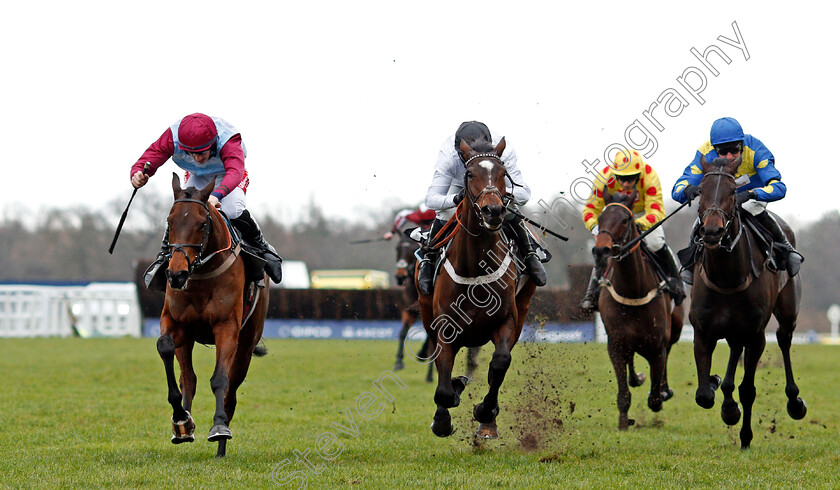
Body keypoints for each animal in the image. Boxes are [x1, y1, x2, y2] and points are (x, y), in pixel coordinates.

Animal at [153, 174, 266, 458]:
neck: (202, 274)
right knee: (189, 379)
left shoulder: (227, 327)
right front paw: (181, 420)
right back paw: (184, 423)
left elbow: (220, 380)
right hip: (188, 339)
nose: (176, 275)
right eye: (169, 222)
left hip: (246, 344)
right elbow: (165, 348)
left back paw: (221, 445)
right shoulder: (175, 322)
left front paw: (219, 429)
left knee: (231, 390)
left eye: (202, 224)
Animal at [416, 137, 540, 436]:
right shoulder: (444, 325)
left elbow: (500, 362)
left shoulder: (507, 319)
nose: (493, 210)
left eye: (503, 173)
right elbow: (443, 378)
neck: (475, 267)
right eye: (470, 174)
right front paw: (442, 417)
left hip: (524, 304)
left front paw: (486, 413)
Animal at [592, 189, 684, 430]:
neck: (633, 290)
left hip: (675, 328)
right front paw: (624, 423)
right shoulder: (615, 343)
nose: (601, 250)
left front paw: (660, 393)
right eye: (600, 218)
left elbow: (654, 397)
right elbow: (624, 392)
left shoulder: (658, 346)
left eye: (625, 219)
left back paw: (663, 389)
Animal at [688, 156, 808, 448]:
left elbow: (748, 390)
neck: (727, 277)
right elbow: (704, 395)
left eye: (733, 191)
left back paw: (794, 401)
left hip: (787, 310)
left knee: (784, 339)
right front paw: (716, 385)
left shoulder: (756, 336)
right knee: (734, 350)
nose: (712, 231)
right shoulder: (702, 332)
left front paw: (744, 434)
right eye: (700, 191)